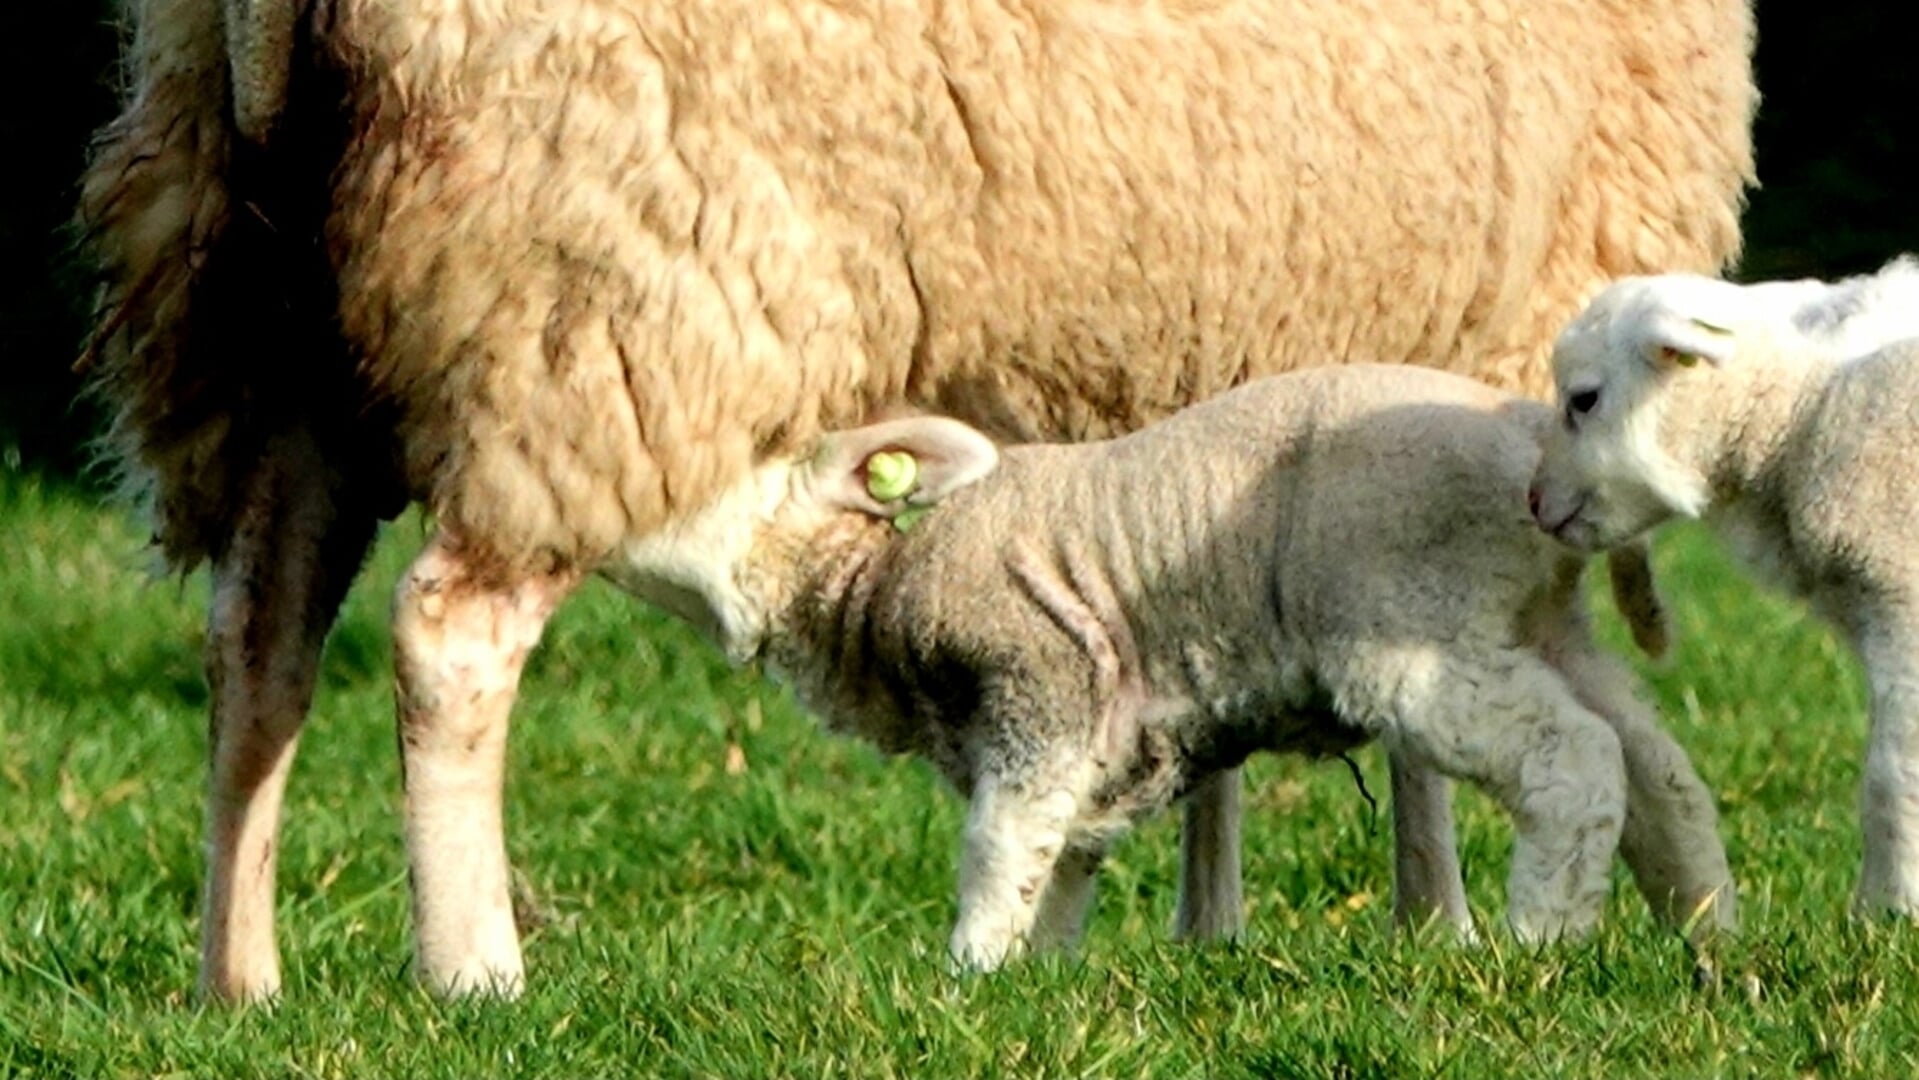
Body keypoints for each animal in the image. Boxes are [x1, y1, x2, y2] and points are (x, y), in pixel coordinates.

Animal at [614, 362, 1742, 962]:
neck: (878, 572)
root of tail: (1540, 453)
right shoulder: (1079, 736)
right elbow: (1059, 861)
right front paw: (1037, 977)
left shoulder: (1036, 690)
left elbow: (996, 850)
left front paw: (964, 977)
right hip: (1536, 621)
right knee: (1657, 769)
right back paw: (1704, 925)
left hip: (1414, 625)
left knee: (1571, 756)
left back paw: (1543, 934)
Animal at [1535, 255, 1919, 920]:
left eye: (1583, 400)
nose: (1534, 503)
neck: (1802, 407)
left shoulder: (1903, 597)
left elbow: (1891, 773)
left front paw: (1887, 913)